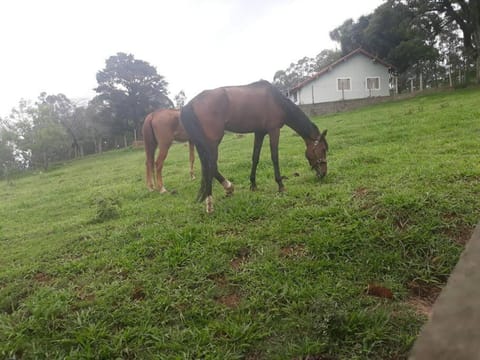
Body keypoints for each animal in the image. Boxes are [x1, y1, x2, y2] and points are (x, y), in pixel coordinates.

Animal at [180, 80, 326, 212]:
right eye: (323, 150)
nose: (323, 173)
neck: (276, 100)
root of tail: (189, 105)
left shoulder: (259, 133)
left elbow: (255, 157)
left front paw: (253, 185)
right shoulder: (274, 130)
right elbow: (274, 157)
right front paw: (281, 185)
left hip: (202, 144)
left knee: (209, 167)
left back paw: (228, 188)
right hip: (212, 142)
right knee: (211, 166)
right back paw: (210, 203)